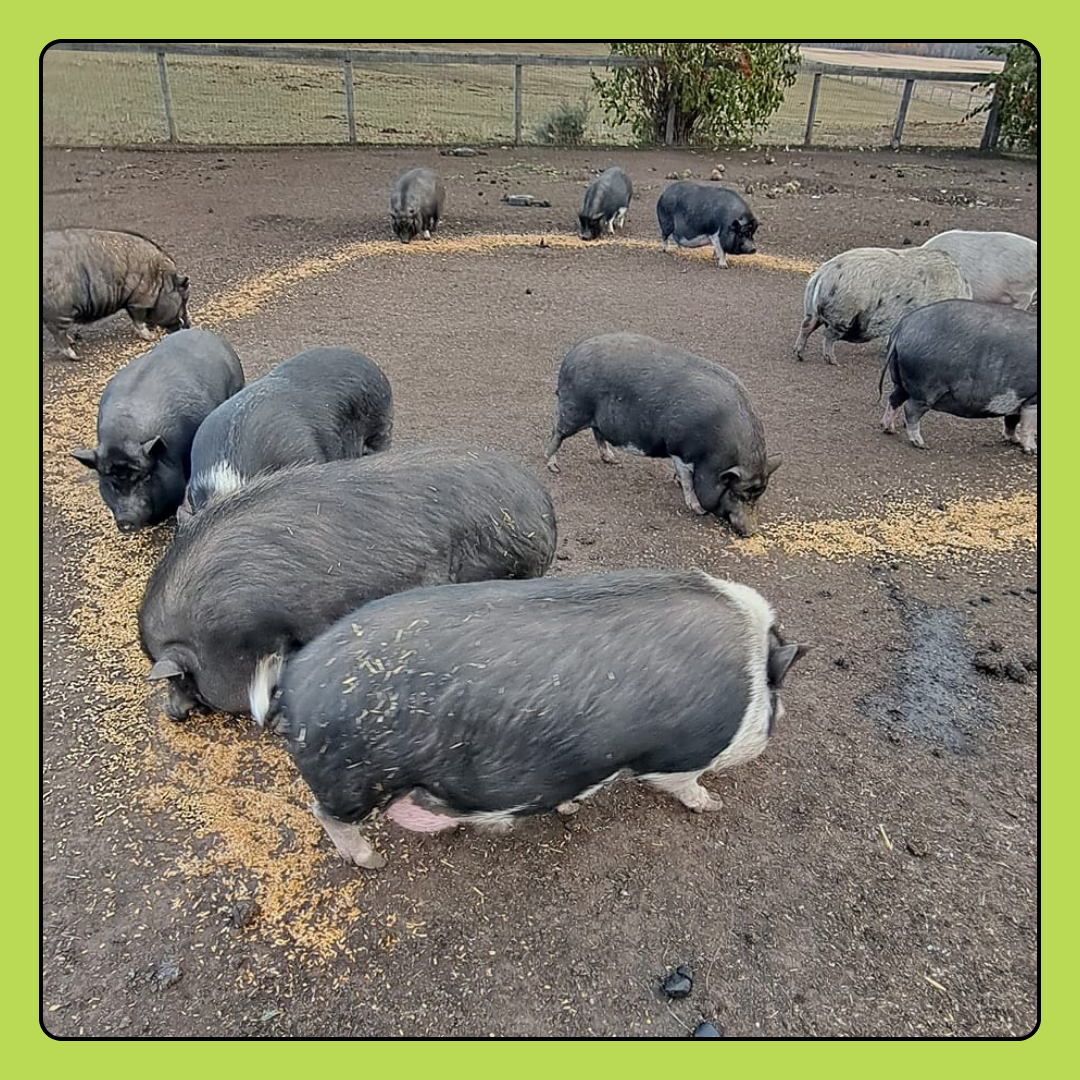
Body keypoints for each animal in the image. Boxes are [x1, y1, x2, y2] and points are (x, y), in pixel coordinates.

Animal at [42, 228, 191, 360]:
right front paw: (150, 337)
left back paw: (72, 341)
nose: (188, 325)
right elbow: (138, 319)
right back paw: (75, 356)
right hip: (60, 310)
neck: (161, 282)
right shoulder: (138, 300)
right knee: (57, 332)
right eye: (184, 298)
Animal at [250, 568, 807, 870]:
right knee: (325, 815)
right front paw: (712, 805)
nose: (778, 722)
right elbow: (685, 785)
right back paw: (373, 861)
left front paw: (572, 807)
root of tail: (292, 681)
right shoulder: (677, 755)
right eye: (776, 696)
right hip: (354, 780)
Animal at [545, 333, 780, 536]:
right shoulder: (679, 449)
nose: (751, 531)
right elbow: (687, 479)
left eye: (759, 494)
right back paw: (553, 466)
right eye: (736, 493)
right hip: (573, 409)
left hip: (594, 418)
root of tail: (571, 356)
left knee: (596, 432)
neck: (713, 456)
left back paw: (611, 459)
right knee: (556, 432)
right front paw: (698, 508)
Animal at [793, 246, 972, 365]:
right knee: (828, 335)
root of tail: (821, 274)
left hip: (815, 311)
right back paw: (833, 362)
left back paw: (799, 355)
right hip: (844, 312)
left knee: (806, 326)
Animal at [879, 299, 1038, 453]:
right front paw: (1032, 450)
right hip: (925, 387)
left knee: (894, 398)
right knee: (910, 409)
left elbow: (1012, 420)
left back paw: (889, 429)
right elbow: (1029, 425)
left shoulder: (1017, 400)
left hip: (901, 380)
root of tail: (902, 327)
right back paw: (921, 444)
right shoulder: (1032, 399)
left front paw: (1014, 440)